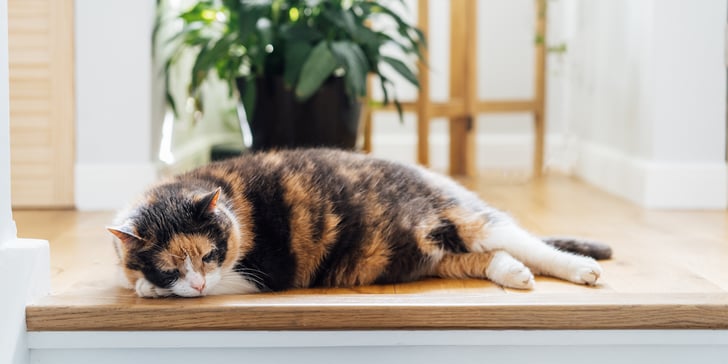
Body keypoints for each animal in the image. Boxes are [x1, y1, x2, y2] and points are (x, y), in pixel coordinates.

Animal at [106, 148, 608, 298]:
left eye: (211, 254)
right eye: (170, 266)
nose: (196, 284)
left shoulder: (266, 272)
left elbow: (223, 284)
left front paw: (148, 289)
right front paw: (152, 286)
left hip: (473, 220)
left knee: (528, 243)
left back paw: (582, 269)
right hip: (437, 256)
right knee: (488, 258)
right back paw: (515, 275)